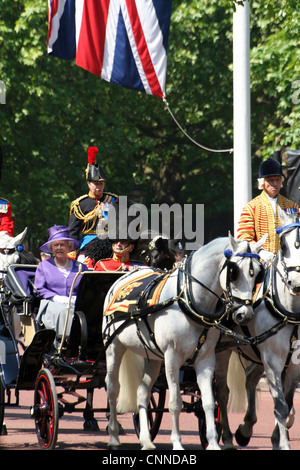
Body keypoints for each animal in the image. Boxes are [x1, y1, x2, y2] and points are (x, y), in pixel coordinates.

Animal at [102, 233, 264, 450]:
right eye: (234, 272)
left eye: (258, 274)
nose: (244, 315)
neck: (190, 301)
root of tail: (124, 277)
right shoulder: (172, 357)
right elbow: (175, 403)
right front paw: (177, 443)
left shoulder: (205, 358)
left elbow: (209, 402)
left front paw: (213, 443)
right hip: (114, 348)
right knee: (112, 389)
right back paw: (113, 436)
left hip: (152, 357)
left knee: (142, 392)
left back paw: (146, 440)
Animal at [216, 210, 300, 452]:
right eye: (283, 245)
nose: (297, 283)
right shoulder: (272, 358)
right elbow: (280, 405)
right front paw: (282, 443)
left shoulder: (294, 365)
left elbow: (287, 401)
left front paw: (276, 438)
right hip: (222, 351)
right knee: (222, 391)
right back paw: (227, 437)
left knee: (250, 379)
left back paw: (245, 429)